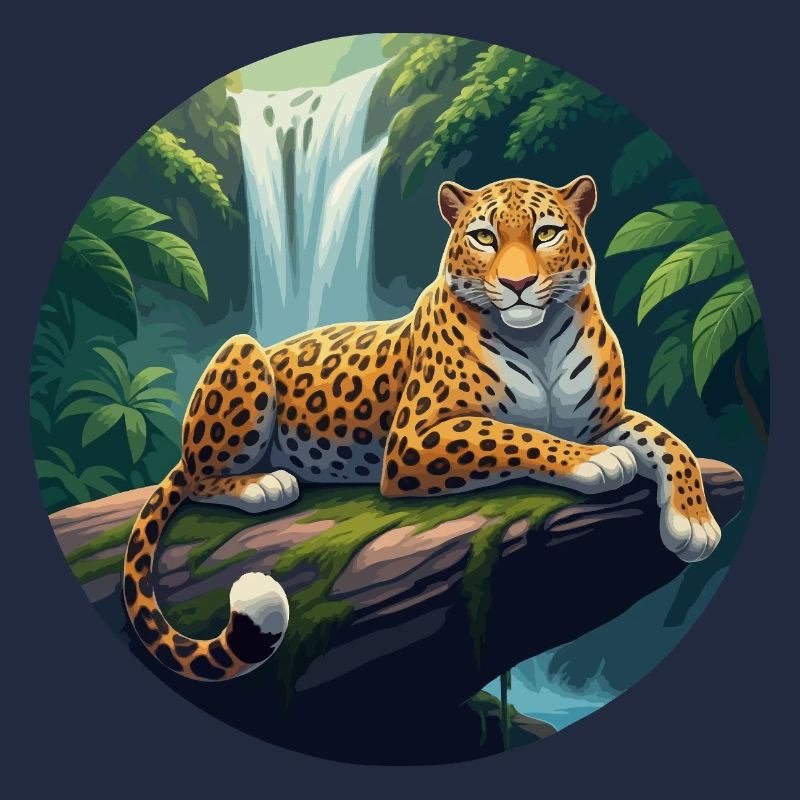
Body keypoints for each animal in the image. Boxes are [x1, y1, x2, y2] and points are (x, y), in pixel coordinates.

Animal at [122, 174, 722, 682]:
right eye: (483, 237)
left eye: (546, 233)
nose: (519, 283)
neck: (539, 339)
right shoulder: (416, 437)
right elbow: (515, 435)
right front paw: (593, 462)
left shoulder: (606, 419)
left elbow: (669, 441)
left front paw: (694, 522)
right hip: (242, 352)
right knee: (202, 477)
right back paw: (263, 483)